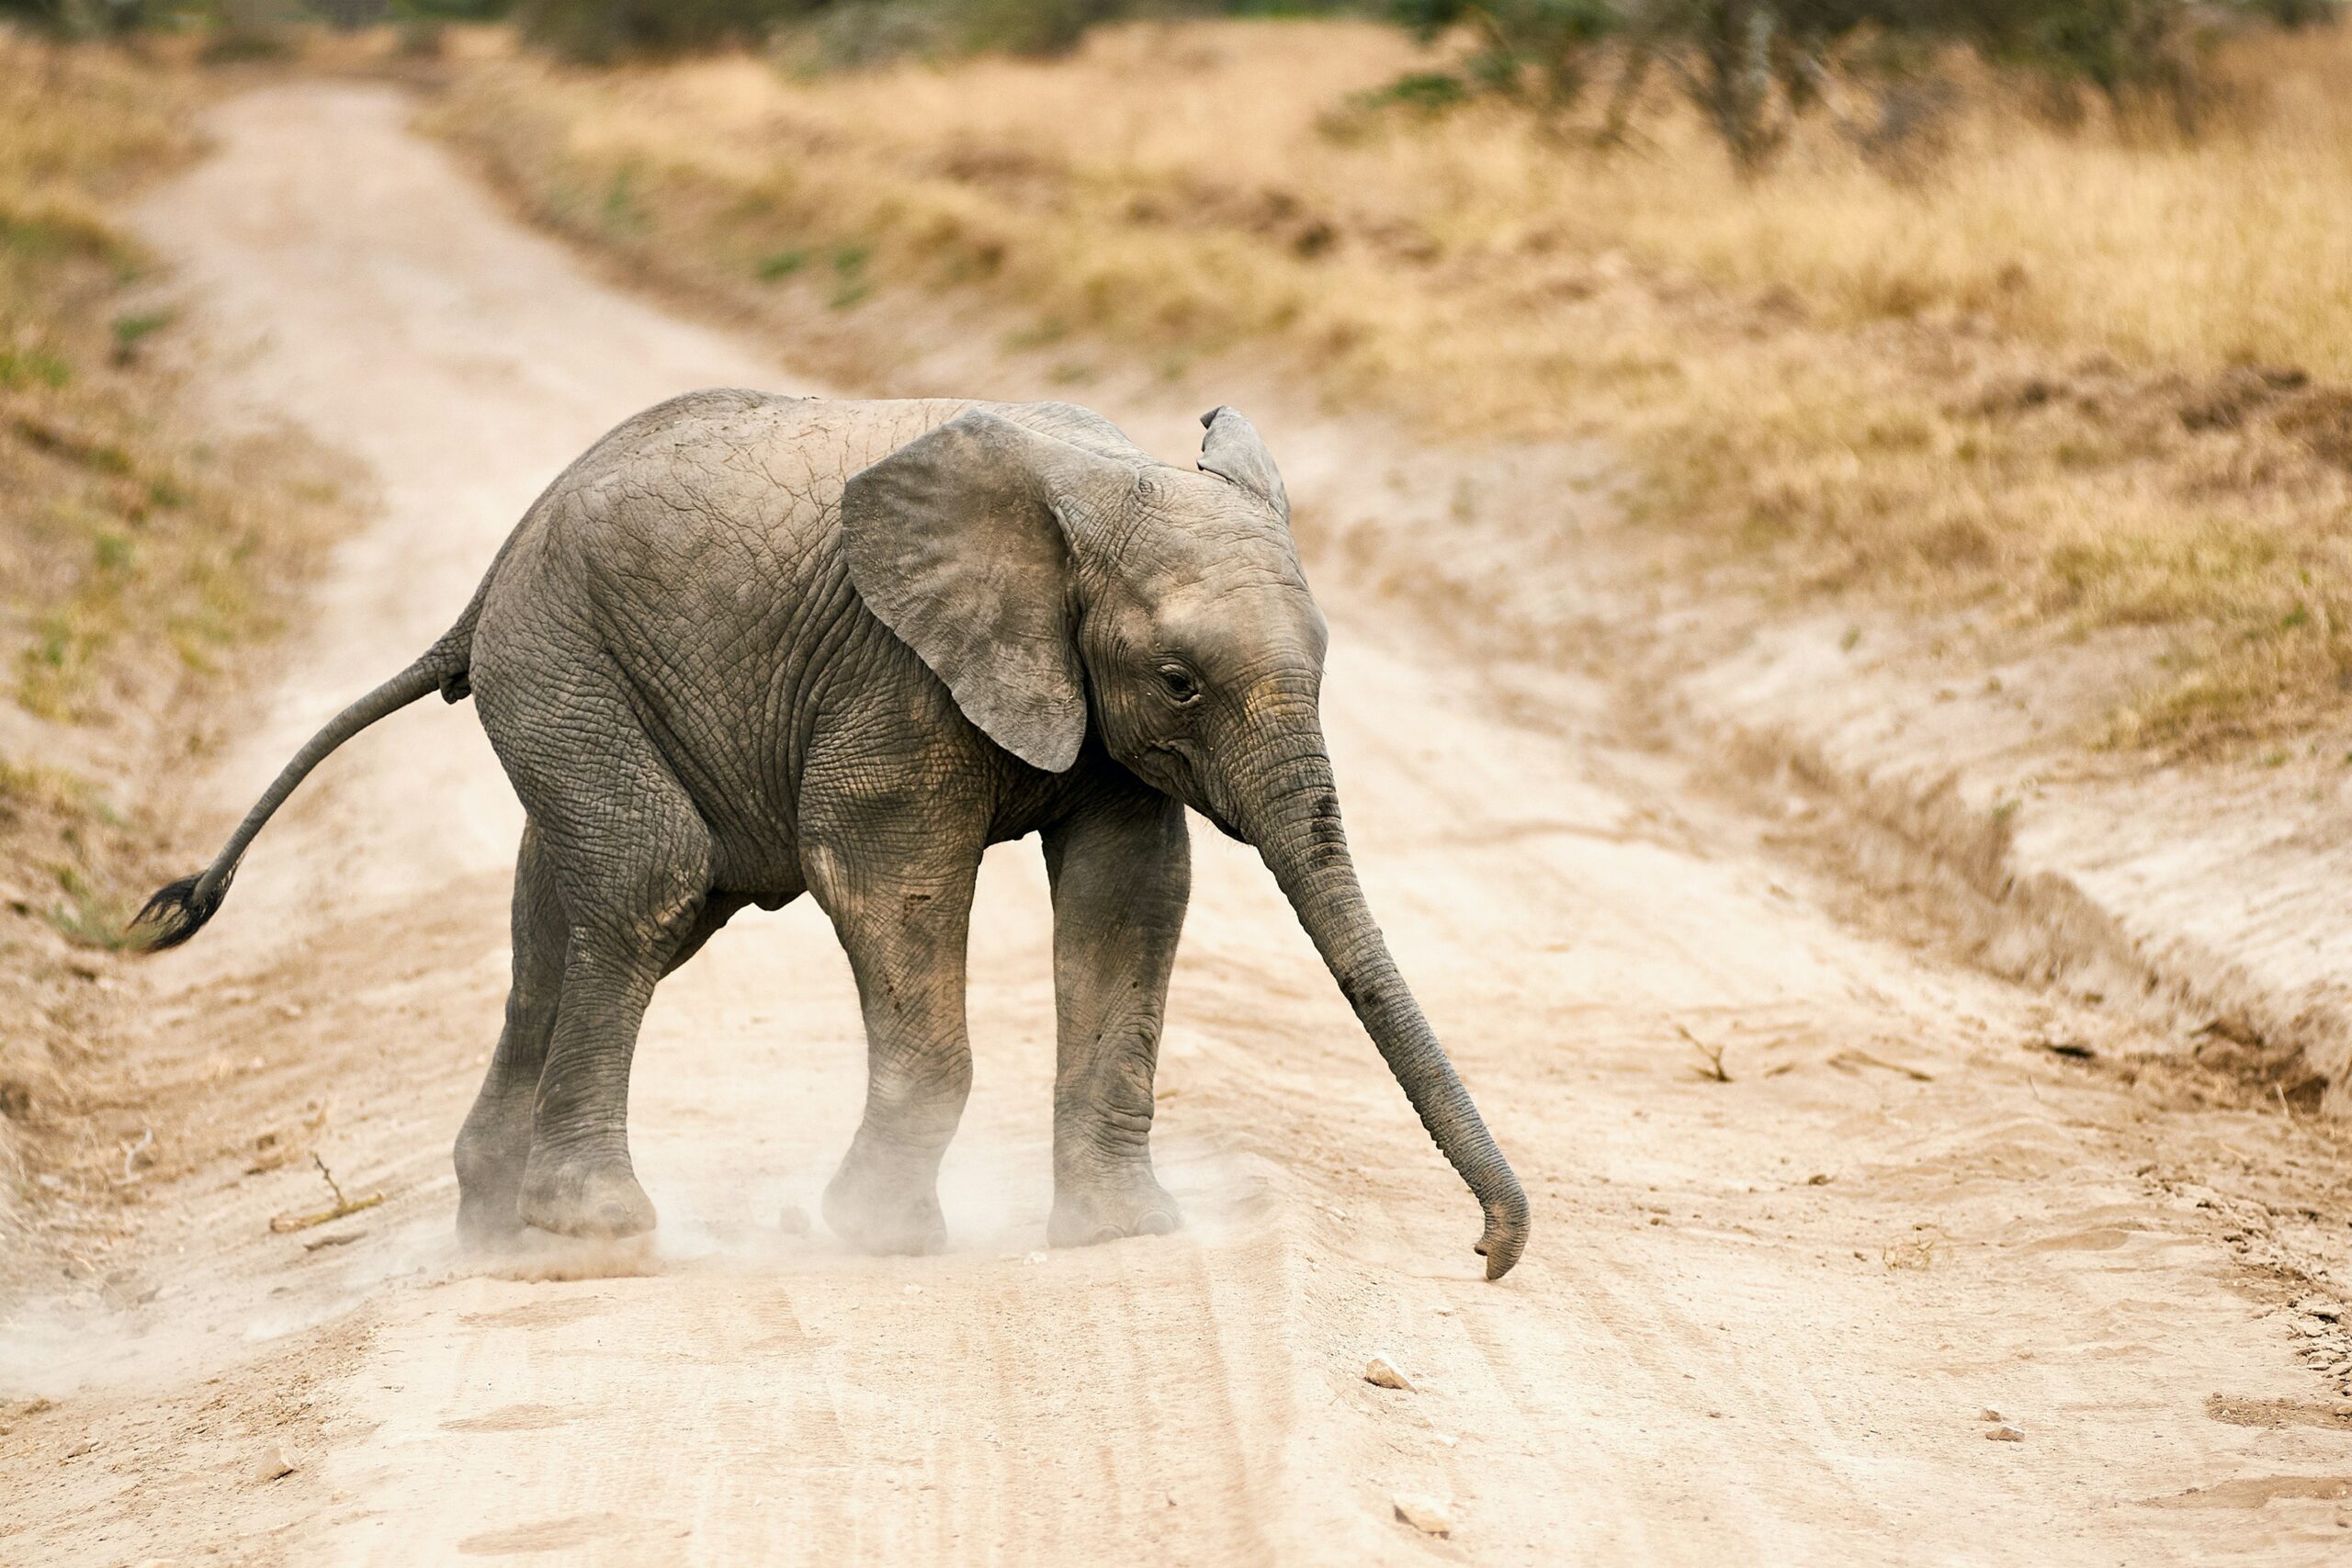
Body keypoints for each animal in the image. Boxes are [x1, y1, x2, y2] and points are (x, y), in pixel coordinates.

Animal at [136, 394, 1530, 1279]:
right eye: (1182, 681)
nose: (1487, 1251)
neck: (1094, 479)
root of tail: (485, 587)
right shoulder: (895, 672)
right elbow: (881, 868)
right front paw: (879, 1237)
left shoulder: (1087, 707)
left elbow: (1133, 892)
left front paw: (1126, 1236)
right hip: (560, 658)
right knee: (648, 879)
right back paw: (592, 1237)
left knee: (570, 916)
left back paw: (496, 1230)